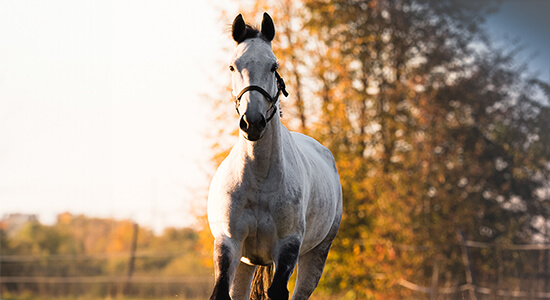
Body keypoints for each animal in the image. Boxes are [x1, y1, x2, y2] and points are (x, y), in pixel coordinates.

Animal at [209, 12, 342, 300]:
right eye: (232, 67)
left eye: (273, 66)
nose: (252, 122)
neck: (259, 180)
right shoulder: (229, 243)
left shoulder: (288, 247)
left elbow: (278, 291)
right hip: (245, 263)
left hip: (316, 255)